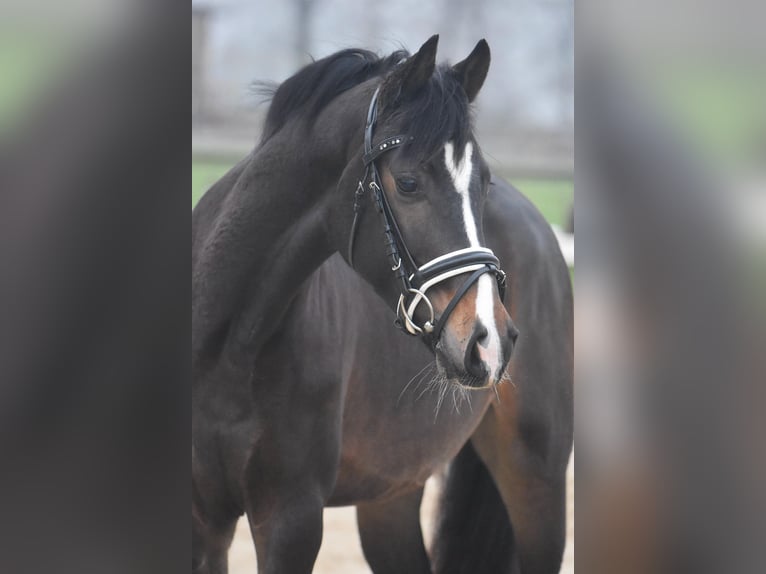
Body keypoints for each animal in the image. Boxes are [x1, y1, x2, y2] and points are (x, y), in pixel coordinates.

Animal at [192, 37, 576, 574]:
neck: (230, 345)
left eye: (483, 183)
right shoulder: (205, 522)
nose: (489, 341)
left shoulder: (290, 517)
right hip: (390, 496)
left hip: (536, 478)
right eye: (408, 183)